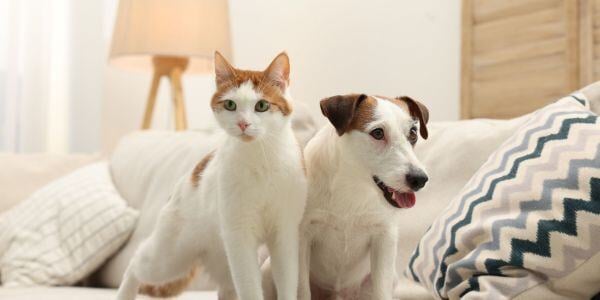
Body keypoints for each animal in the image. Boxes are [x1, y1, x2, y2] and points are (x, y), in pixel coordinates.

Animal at [116, 52, 310, 300]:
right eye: (230, 104)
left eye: (262, 105)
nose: (243, 123)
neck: (260, 159)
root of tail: (184, 181)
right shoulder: (239, 236)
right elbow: (250, 286)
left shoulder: (285, 233)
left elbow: (287, 281)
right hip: (169, 256)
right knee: (136, 263)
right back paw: (124, 293)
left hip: (221, 260)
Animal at [298, 94, 428, 300]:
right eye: (378, 133)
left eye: (413, 133)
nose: (420, 179)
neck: (353, 182)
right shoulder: (302, 237)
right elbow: (302, 290)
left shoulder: (384, 238)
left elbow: (382, 291)